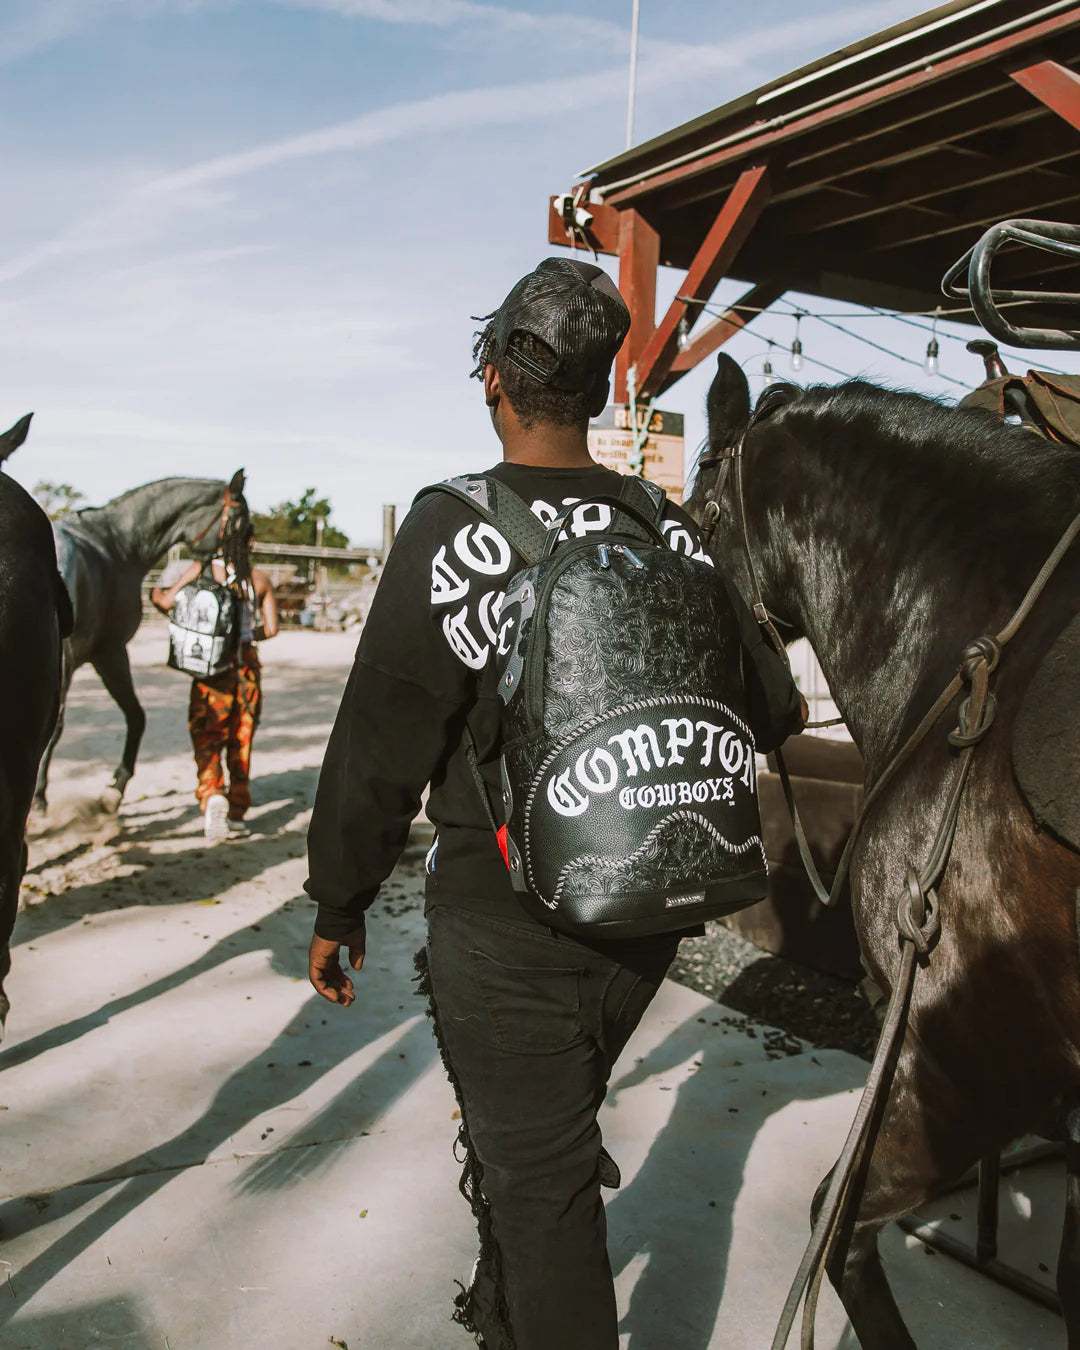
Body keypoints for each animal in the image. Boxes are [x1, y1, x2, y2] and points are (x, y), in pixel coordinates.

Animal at [34, 469, 249, 810]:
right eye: (242, 525)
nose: (241, 578)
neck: (117, 545)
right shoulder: (109, 653)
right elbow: (130, 717)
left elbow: (134, 716)